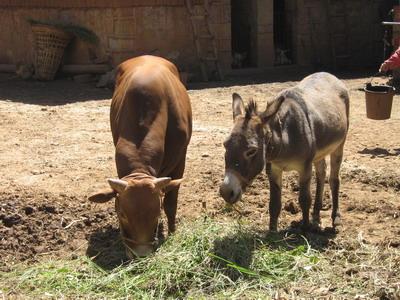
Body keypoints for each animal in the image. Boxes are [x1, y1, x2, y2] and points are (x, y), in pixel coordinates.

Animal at [89, 55, 192, 256]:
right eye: (121, 213)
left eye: (157, 213)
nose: (141, 254)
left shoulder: (180, 160)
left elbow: (171, 203)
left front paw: (173, 233)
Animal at [220, 72, 348, 232]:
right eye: (225, 145)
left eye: (251, 151)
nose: (226, 192)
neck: (283, 139)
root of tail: (328, 74)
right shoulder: (273, 169)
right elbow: (274, 204)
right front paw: (272, 231)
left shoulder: (305, 168)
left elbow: (304, 199)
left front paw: (304, 228)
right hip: (319, 152)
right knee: (321, 173)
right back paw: (316, 217)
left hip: (339, 145)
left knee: (334, 179)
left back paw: (335, 219)